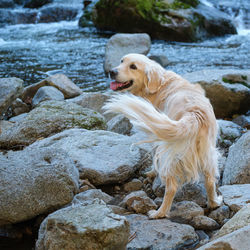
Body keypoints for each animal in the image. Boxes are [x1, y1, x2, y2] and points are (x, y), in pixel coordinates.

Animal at [103, 53, 223, 219]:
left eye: (133, 66)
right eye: (122, 61)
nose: (112, 72)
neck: (158, 84)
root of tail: (194, 114)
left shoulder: (157, 138)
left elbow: (154, 161)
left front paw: (152, 173)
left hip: (170, 154)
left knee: (171, 187)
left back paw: (159, 213)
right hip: (208, 154)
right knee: (210, 181)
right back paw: (214, 203)